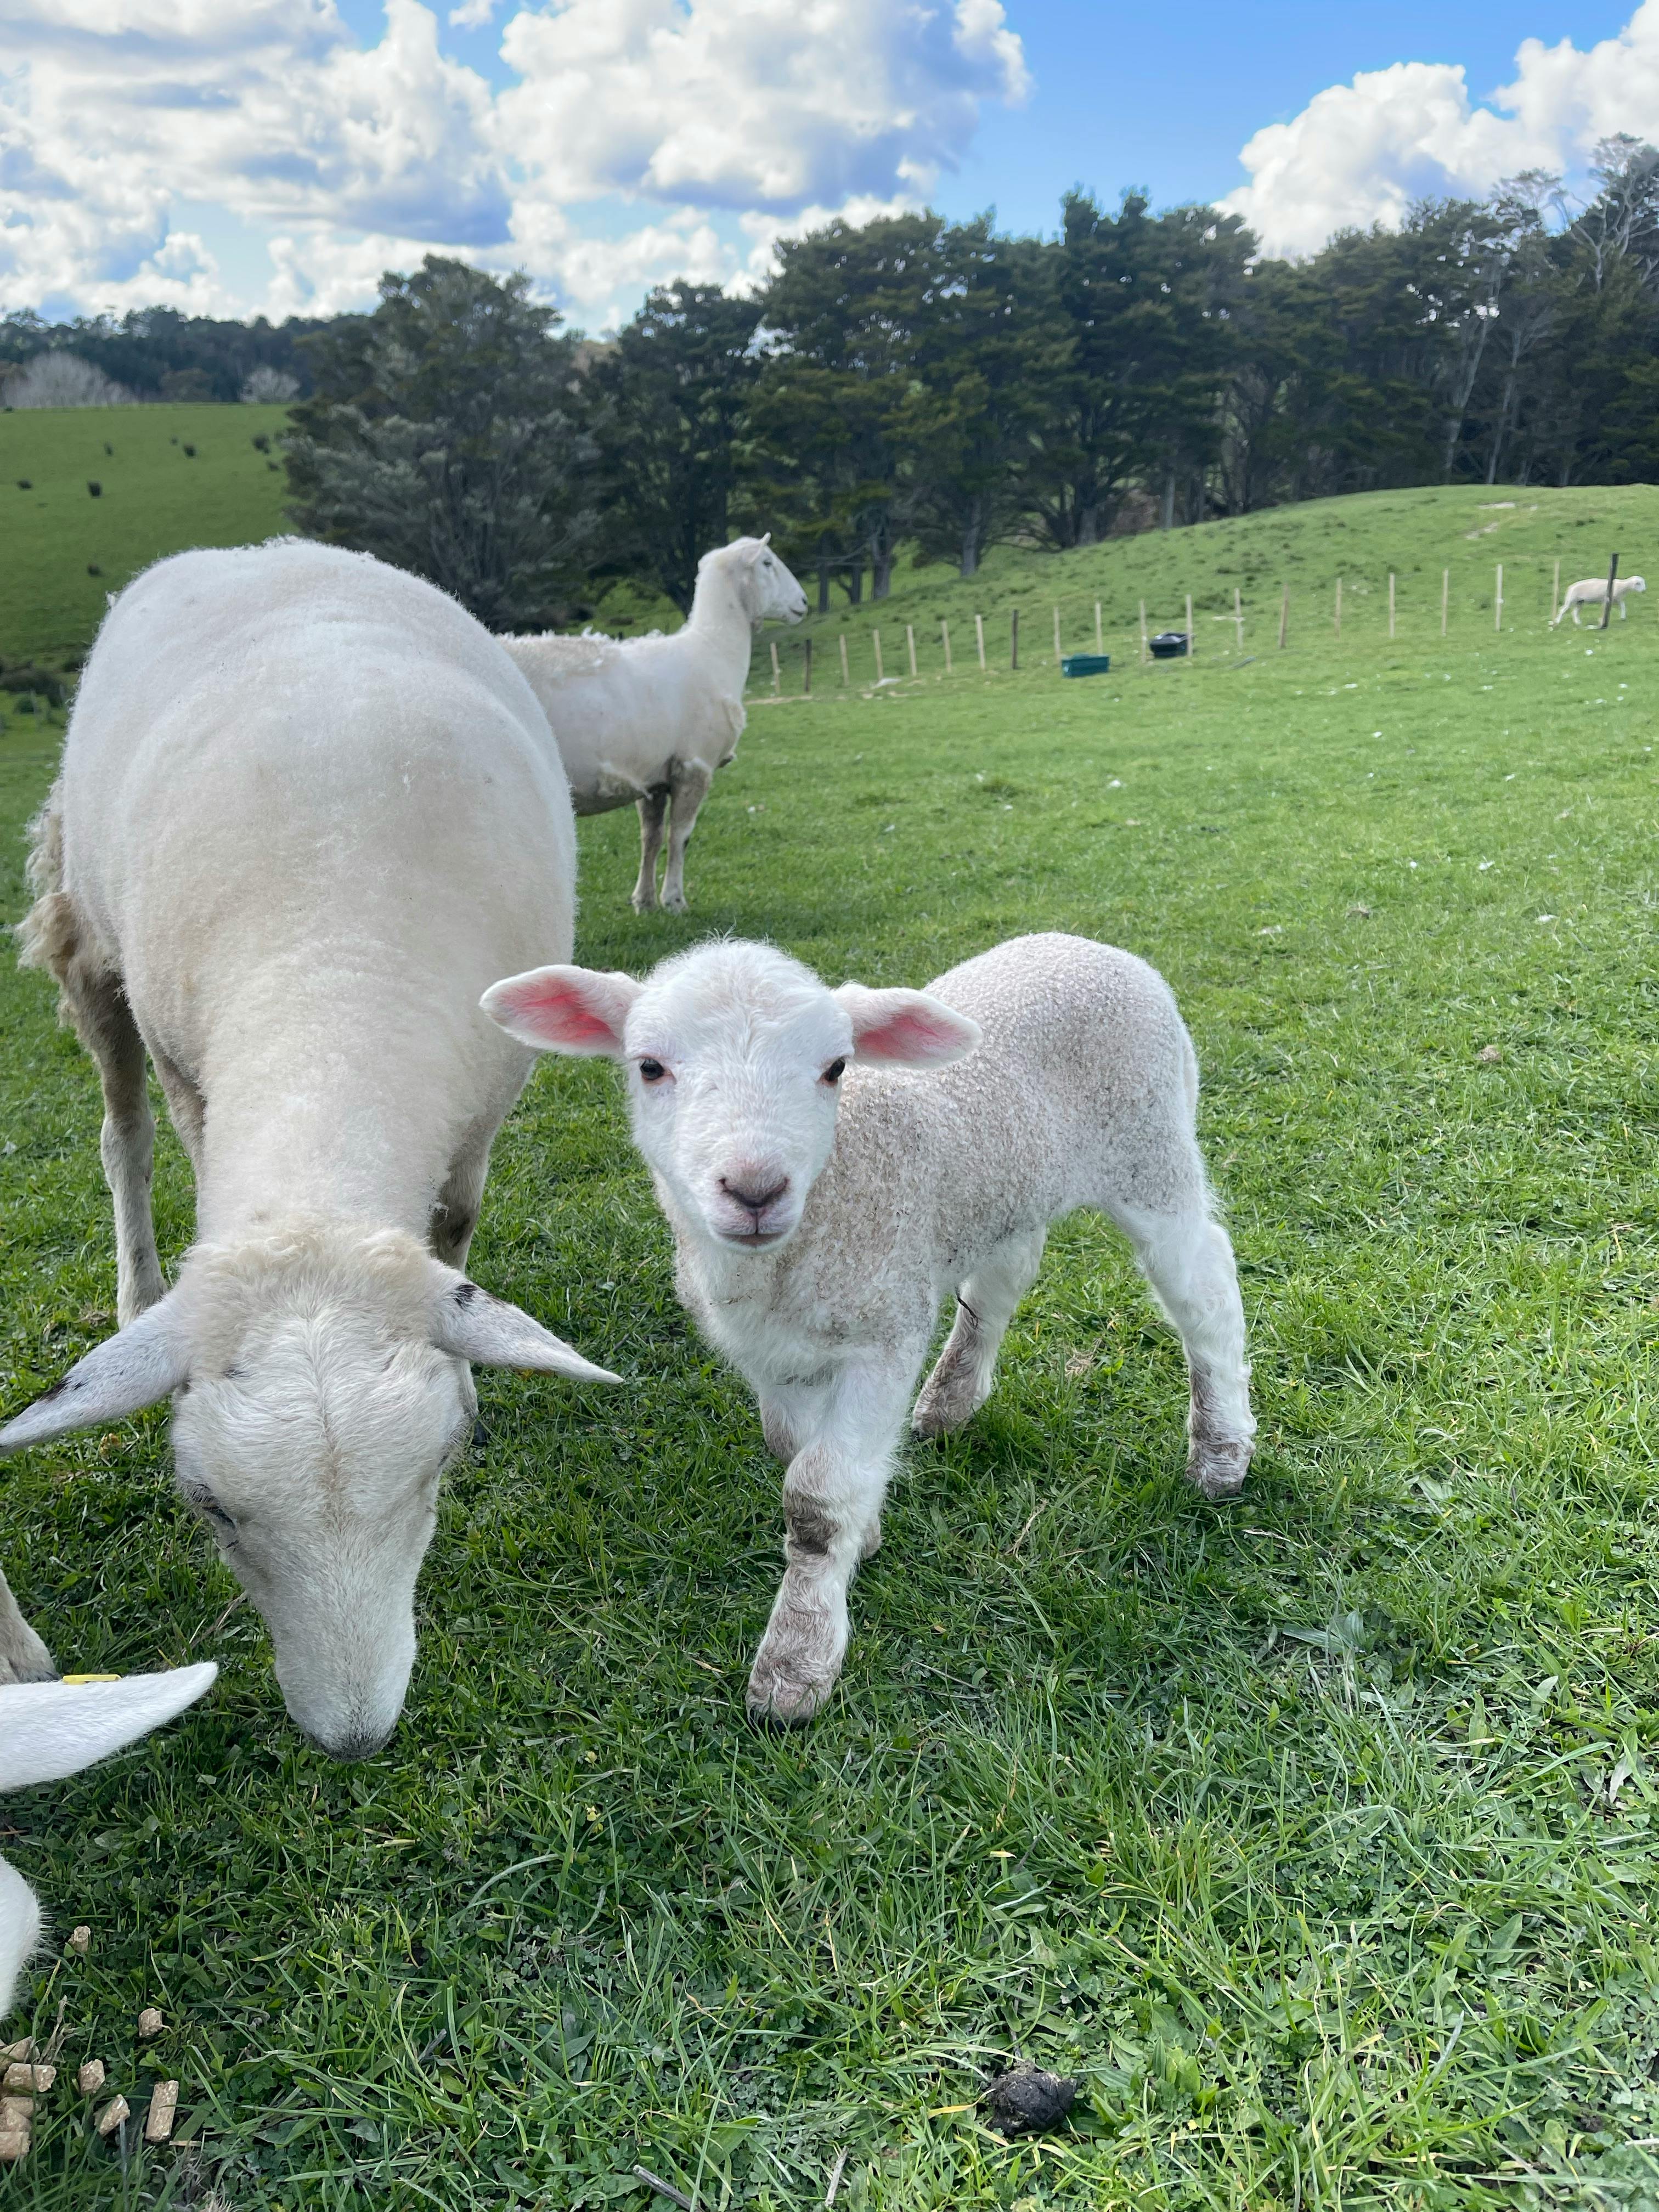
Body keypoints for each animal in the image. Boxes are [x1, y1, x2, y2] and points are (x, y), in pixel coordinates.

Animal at [1, 539, 619, 1758]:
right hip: (93, 949)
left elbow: (454, 1230)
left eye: (437, 1471)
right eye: (209, 1507)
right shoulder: (192, 1073)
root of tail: (263, 550)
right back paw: (136, 1286)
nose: (353, 1739)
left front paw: (470, 1379)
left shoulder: (484, 1108)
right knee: (122, 1135)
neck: (335, 977)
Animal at [483, 932, 1256, 1726]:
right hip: (1010, 1183)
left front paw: (796, 1663)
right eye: (649, 1067)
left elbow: (816, 1498)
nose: (756, 1191)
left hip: (1150, 1149)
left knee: (1206, 1289)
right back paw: (951, 1400)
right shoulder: (771, 1355)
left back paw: (1221, 1453)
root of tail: (1089, 945)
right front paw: (866, 1532)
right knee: (1003, 1281)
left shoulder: (884, 1332)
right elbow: (793, 1449)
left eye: (835, 1068)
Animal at [501, 537, 807, 914]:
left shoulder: (653, 776)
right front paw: (674, 900)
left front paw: (644, 901)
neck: (715, 650)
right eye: (767, 563)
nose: (804, 602)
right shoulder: (695, 765)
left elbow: (651, 837)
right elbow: (681, 836)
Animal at [1553, 574, 1646, 625]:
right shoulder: (1607, 600)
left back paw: (1578, 623)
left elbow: (1623, 607)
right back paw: (1557, 622)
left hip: (1580, 602)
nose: (1644, 591)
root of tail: (1570, 587)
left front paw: (1623, 617)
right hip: (1571, 600)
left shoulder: (1618, 600)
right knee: (1562, 610)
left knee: (1575, 612)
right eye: (1639, 584)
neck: (1623, 587)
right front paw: (1602, 621)